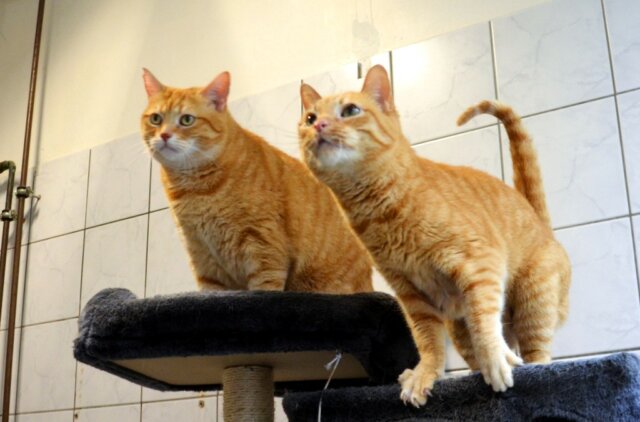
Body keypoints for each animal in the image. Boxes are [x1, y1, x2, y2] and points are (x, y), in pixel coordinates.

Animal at [138, 69, 372, 294]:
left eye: (186, 120)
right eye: (156, 119)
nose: (164, 135)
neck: (194, 189)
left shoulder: (263, 245)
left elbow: (263, 288)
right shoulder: (202, 256)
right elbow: (210, 292)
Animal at [298, 65, 572, 406]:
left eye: (350, 111)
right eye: (310, 117)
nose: (319, 125)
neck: (378, 214)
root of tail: (539, 219)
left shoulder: (480, 263)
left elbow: (484, 321)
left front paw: (495, 359)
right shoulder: (411, 294)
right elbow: (427, 340)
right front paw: (425, 374)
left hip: (534, 301)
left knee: (538, 354)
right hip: (459, 326)